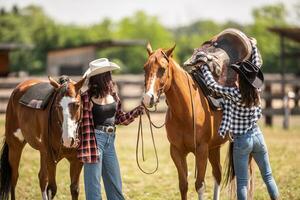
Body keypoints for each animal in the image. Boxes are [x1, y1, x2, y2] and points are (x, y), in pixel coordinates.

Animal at [142, 43, 226, 199]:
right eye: (145, 68)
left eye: (163, 69)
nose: (147, 98)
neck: (186, 113)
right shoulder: (177, 151)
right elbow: (183, 185)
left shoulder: (201, 150)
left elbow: (199, 185)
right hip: (215, 147)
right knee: (218, 173)